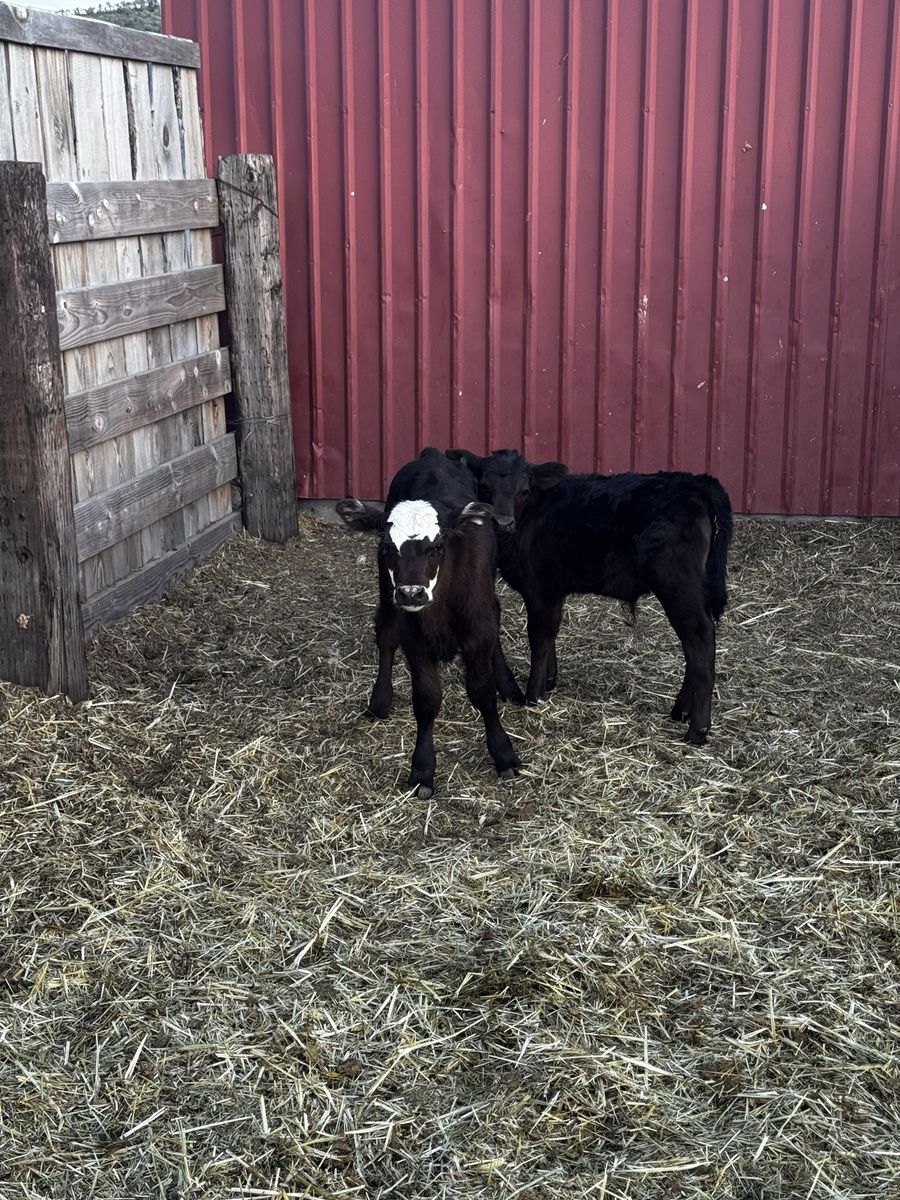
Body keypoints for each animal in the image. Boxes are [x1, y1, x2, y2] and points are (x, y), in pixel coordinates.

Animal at [337, 448, 524, 798]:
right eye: (387, 545)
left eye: (437, 546)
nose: (412, 592)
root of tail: (432, 454)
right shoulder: (415, 638)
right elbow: (426, 699)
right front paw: (422, 769)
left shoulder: (479, 628)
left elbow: (482, 691)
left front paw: (503, 752)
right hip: (387, 596)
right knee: (386, 635)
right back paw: (379, 700)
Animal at [446, 448, 734, 746]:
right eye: (484, 487)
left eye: (524, 490)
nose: (503, 523)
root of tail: (696, 482)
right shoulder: (553, 592)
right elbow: (550, 636)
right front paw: (550, 681)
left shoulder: (540, 588)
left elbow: (539, 638)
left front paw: (533, 695)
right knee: (697, 644)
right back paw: (681, 711)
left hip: (678, 586)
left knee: (699, 642)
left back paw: (697, 730)